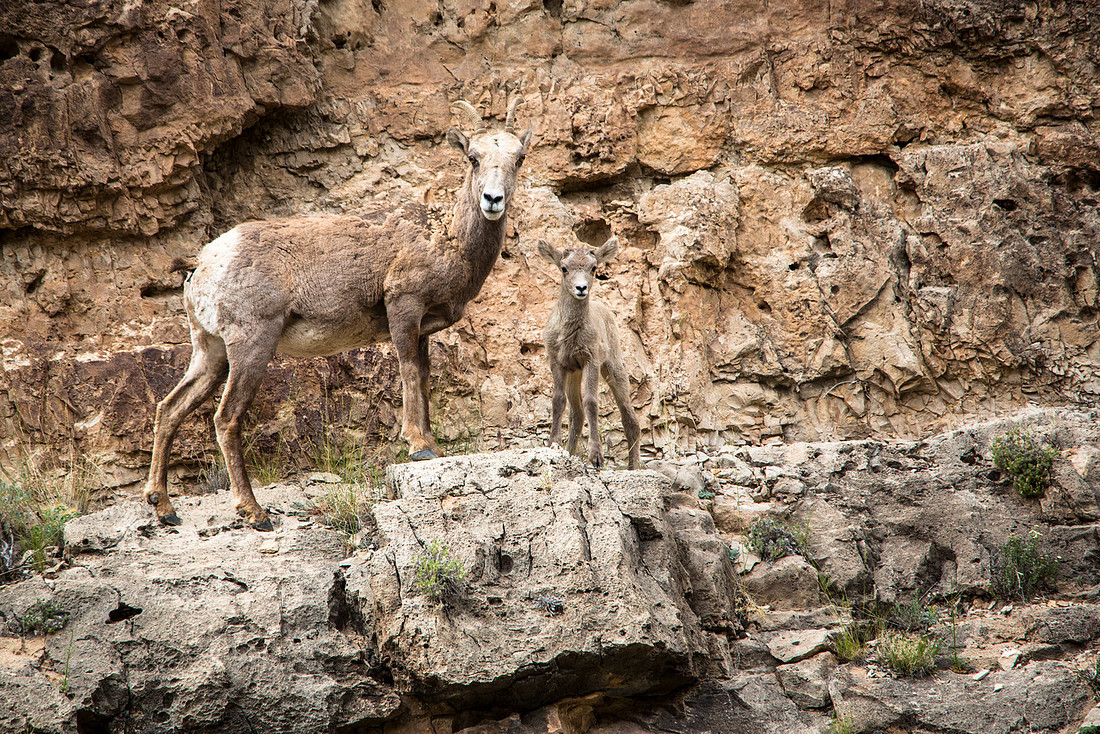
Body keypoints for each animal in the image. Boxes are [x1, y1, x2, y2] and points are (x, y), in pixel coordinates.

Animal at [144, 99, 533, 529]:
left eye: (519, 158)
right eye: (472, 158)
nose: (493, 199)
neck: (447, 241)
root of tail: (201, 263)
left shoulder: (423, 329)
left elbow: (424, 377)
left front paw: (431, 444)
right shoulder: (403, 307)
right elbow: (409, 370)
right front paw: (418, 446)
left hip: (210, 351)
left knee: (169, 408)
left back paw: (163, 507)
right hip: (251, 345)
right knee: (226, 418)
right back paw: (254, 512)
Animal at [537, 236, 641, 470]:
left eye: (593, 268)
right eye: (564, 268)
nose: (581, 288)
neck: (570, 335)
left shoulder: (591, 360)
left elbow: (592, 403)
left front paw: (596, 457)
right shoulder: (557, 361)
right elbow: (558, 401)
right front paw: (553, 445)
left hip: (614, 367)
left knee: (630, 418)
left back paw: (635, 466)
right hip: (574, 375)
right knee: (576, 414)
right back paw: (569, 452)